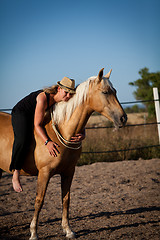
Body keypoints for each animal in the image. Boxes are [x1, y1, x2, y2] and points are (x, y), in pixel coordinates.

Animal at [0, 68, 127, 239]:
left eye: (115, 91)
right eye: (105, 92)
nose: (123, 118)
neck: (61, 130)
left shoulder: (68, 172)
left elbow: (66, 199)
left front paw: (68, 230)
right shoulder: (44, 173)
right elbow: (39, 201)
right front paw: (33, 233)